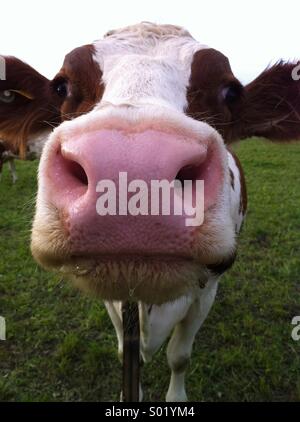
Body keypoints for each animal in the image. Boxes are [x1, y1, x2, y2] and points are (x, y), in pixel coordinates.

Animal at [0, 23, 300, 402]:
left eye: (231, 91)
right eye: (61, 86)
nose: (132, 167)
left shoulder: (206, 290)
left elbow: (180, 356)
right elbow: (125, 354)